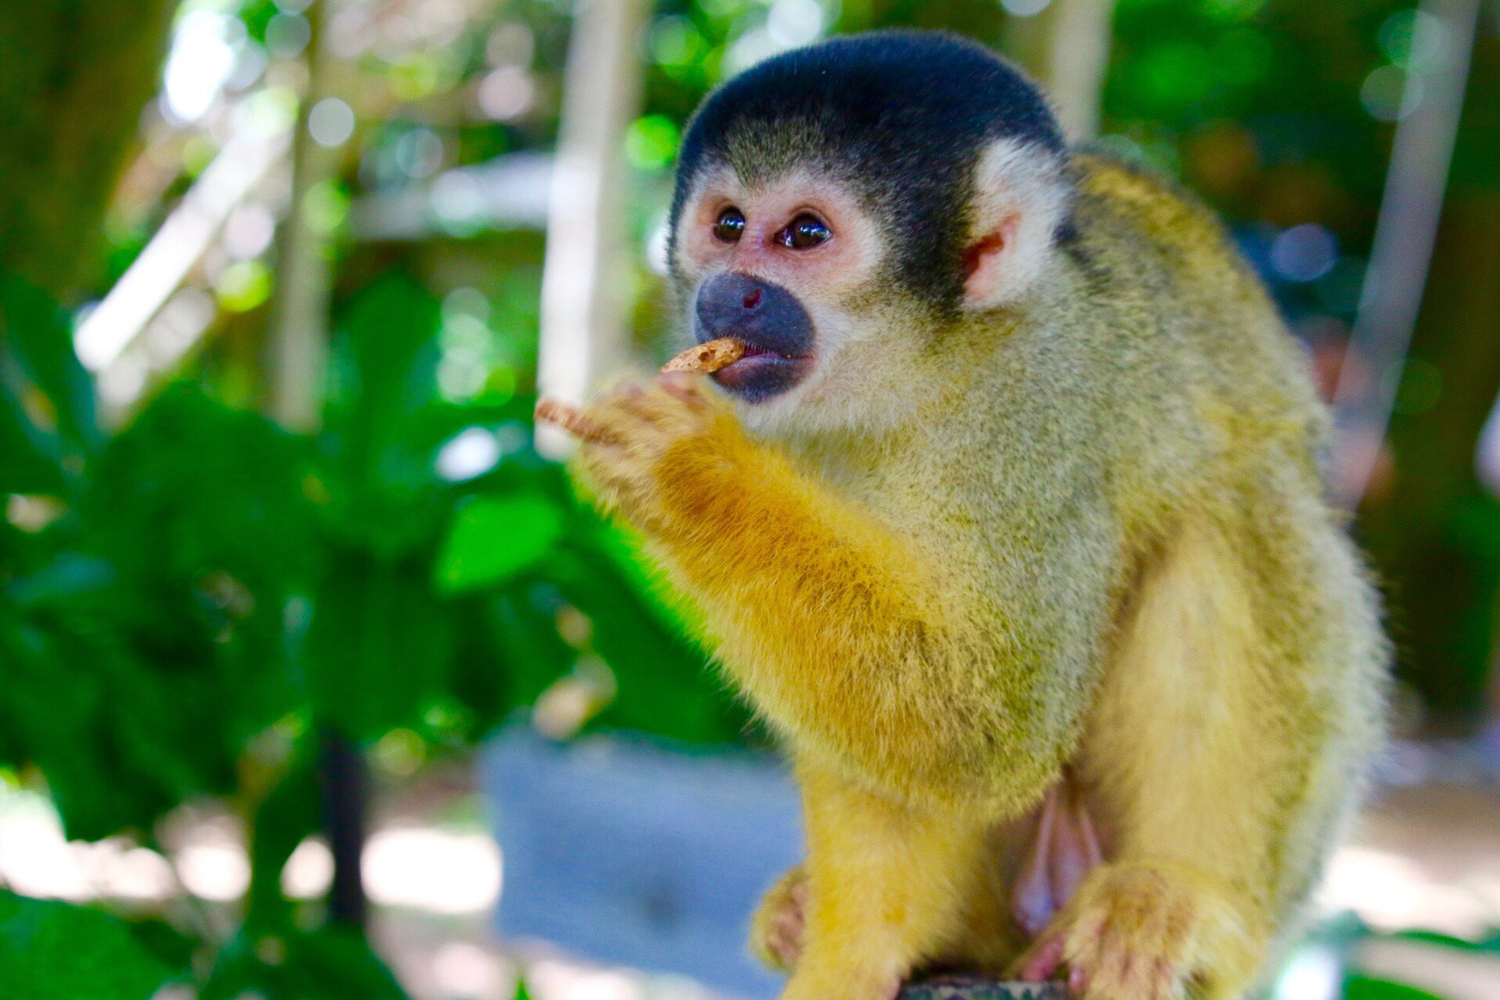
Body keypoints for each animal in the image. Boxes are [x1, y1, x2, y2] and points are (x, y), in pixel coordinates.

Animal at [546, 29, 1386, 1000]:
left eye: (804, 234)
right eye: (727, 225)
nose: (730, 293)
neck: (916, 372)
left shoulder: (1038, 396)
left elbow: (988, 722)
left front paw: (685, 470)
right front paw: (857, 950)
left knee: (1241, 511)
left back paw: (1184, 895)